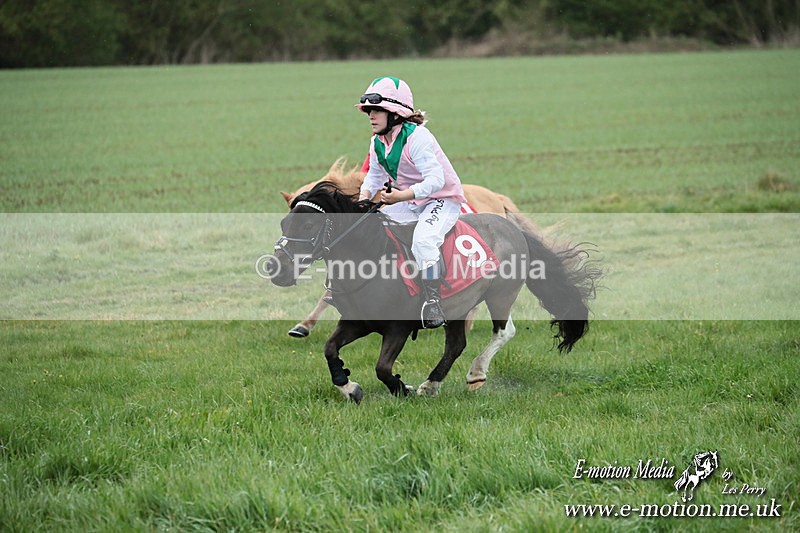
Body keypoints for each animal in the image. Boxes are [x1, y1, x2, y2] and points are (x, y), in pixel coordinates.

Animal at [267, 181, 599, 402]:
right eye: (284, 223)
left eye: (309, 224)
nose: (275, 268)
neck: (372, 258)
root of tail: (511, 227)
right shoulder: (356, 322)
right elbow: (330, 349)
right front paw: (349, 387)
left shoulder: (397, 328)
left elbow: (382, 368)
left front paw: (402, 388)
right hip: (460, 306)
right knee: (456, 344)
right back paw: (432, 384)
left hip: (500, 294)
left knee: (503, 331)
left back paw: (474, 374)